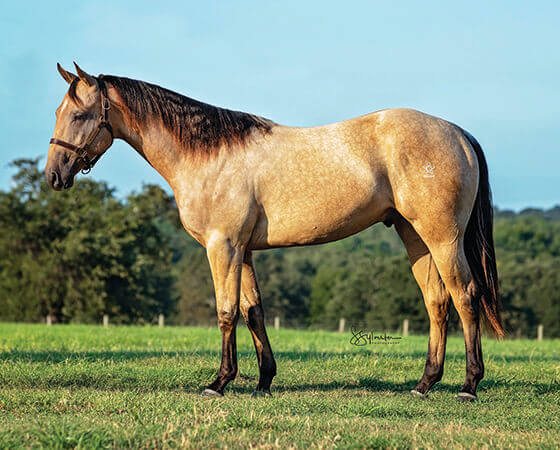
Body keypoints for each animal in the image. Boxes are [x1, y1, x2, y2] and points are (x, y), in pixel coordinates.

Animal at [46, 62, 506, 400]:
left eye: (80, 115)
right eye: (58, 113)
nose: (54, 176)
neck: (209, 155)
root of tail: (458, 133)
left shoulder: (223, 246)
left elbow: (226, 312)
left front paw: (219, 382)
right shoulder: (243, 249)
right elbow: (253, 310)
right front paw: (264, 380)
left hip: (443, 238)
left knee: (465, 297)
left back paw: (469, 385)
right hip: (415, 237)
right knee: (437, 302)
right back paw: (425, 384)